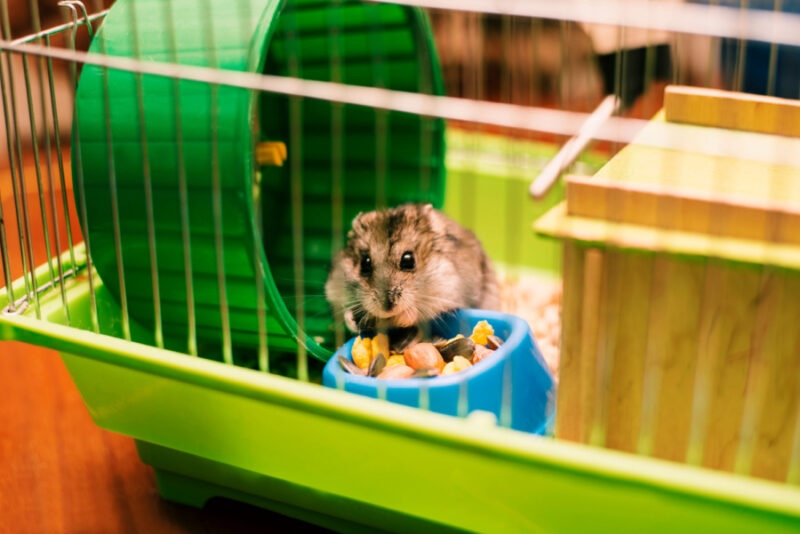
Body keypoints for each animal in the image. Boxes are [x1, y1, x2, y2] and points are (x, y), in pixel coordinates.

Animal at [325, 203, 500, 334]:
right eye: (365, 263)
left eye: (408, 260)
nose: (387, 309)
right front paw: (352, 320)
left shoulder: (447, 292)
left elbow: (416, 312)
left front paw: (397, 318)